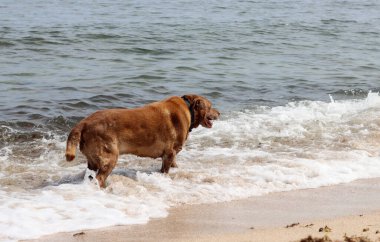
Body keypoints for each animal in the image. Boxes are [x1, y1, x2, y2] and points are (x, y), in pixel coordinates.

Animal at [65, 94, 220, 187]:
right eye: (210, 106)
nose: (219, 113)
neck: (189, 109)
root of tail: (83, 123)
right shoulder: (170, 153)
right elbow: (166, 170)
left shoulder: (170, 154)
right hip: (110, 156)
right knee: (100, 178)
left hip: (93, 160)